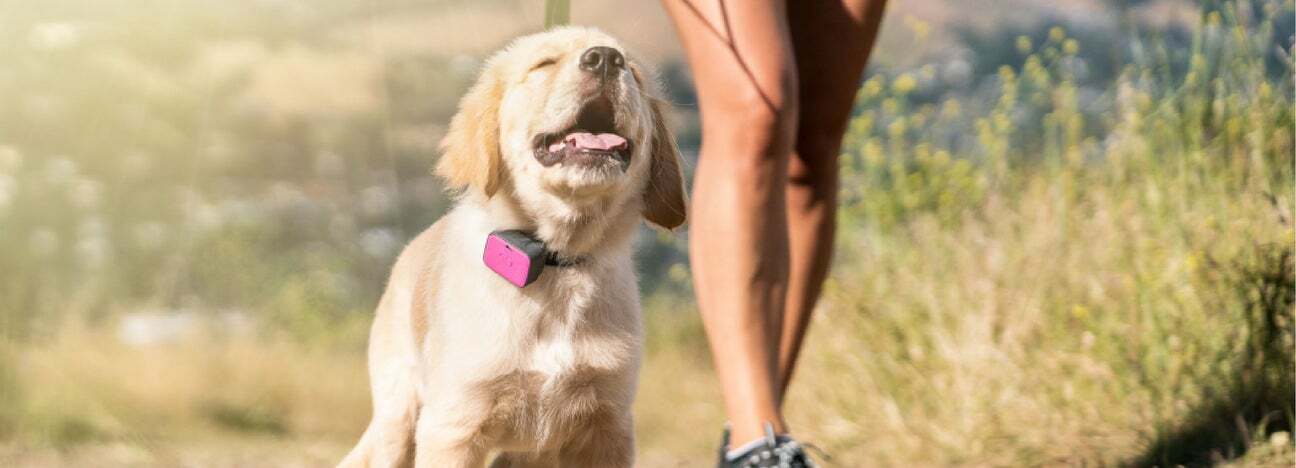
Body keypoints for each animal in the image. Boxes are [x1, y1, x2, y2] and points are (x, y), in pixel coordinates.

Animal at [339, 27, 689, 466]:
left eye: (635, 75)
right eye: (544, 65)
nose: (606, 60)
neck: (555, 263)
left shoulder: (607, 427)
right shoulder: (453, 425)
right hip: (399, 418)